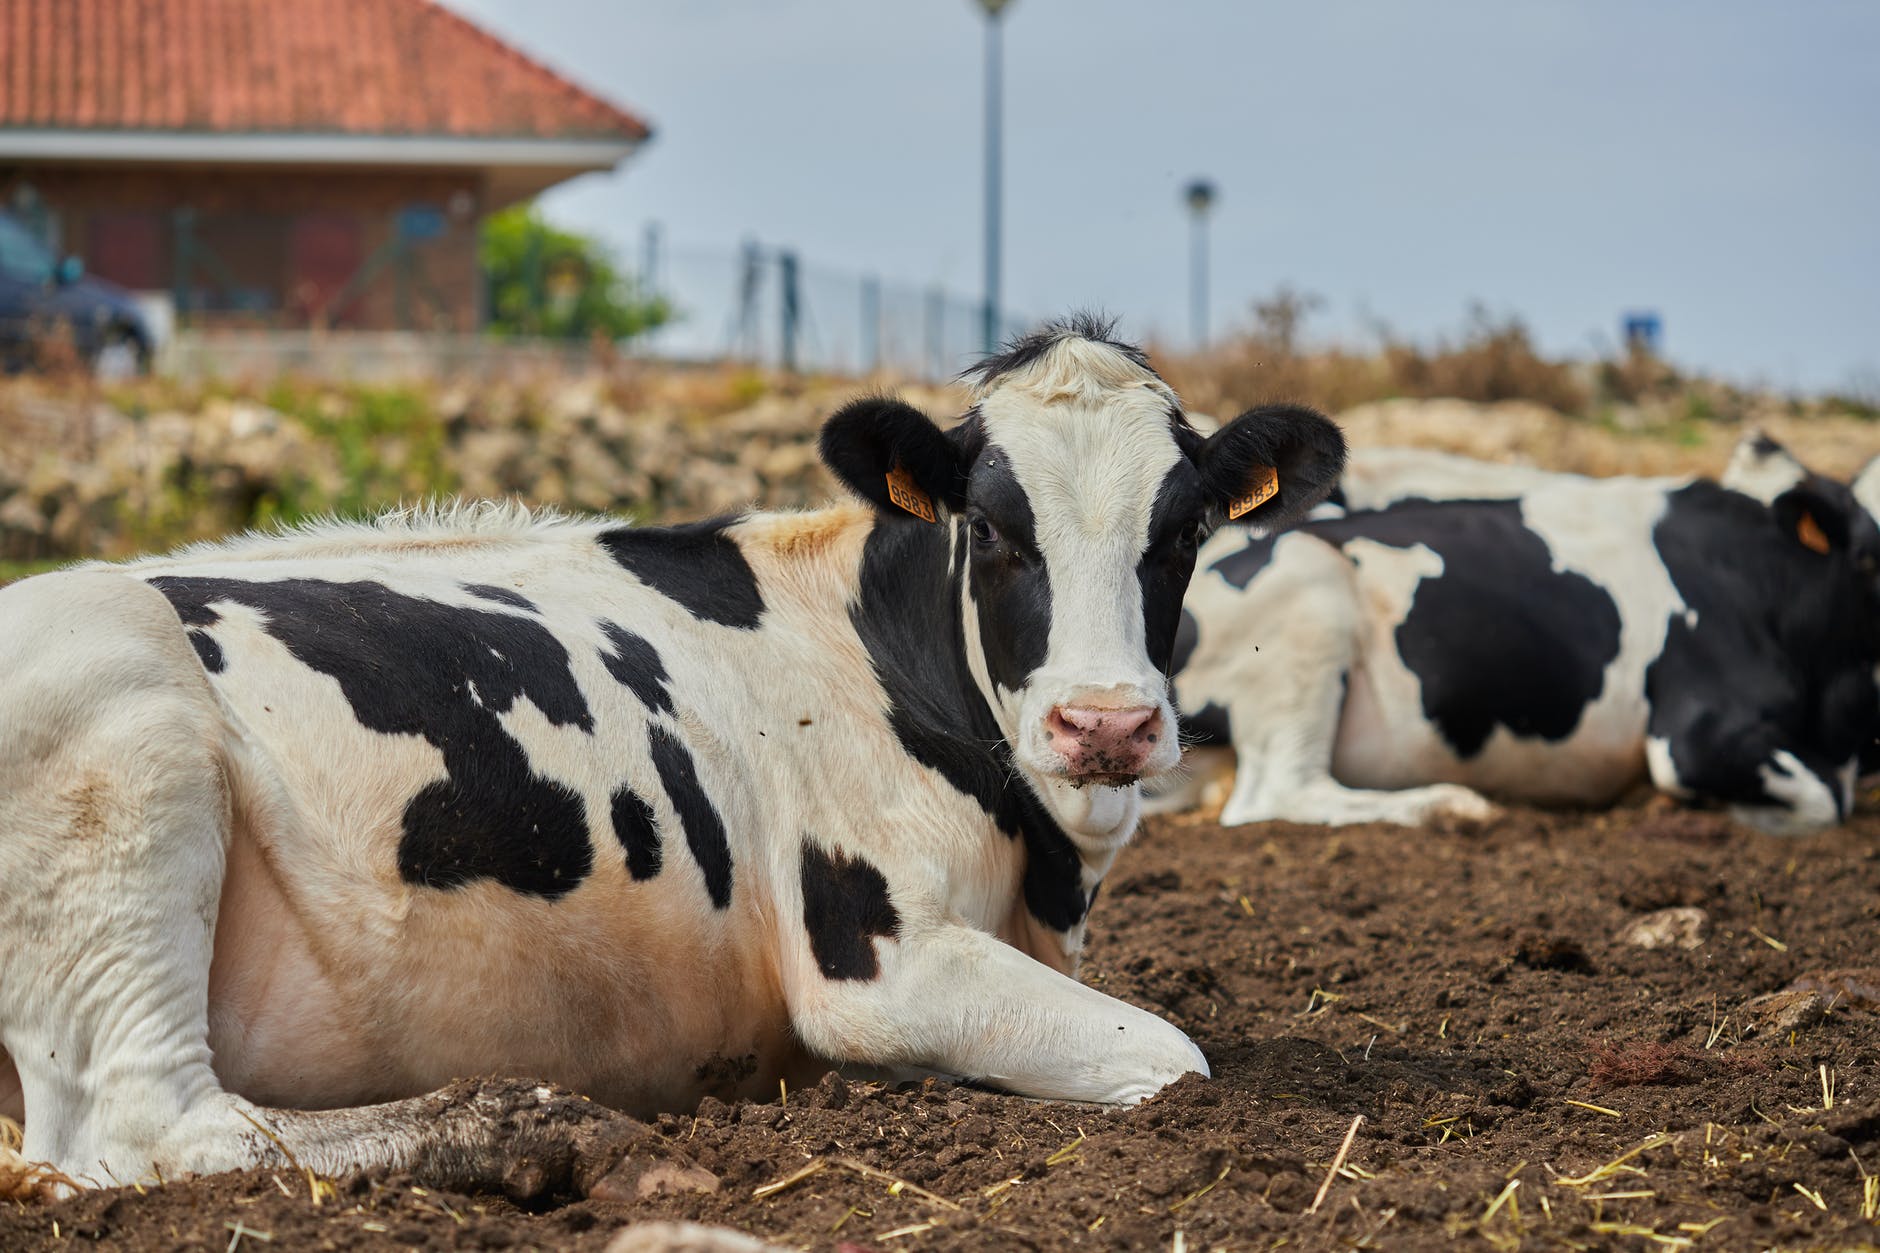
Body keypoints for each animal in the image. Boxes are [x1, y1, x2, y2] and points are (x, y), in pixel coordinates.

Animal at [0, 314, 1353, 1189]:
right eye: (992, 525)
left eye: (1180, 532)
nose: (1105, 723)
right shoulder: (875, 961)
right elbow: (1176, 1057)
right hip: (129, 752)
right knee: (146, 1127)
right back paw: (527, 1123)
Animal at [1158, 434, 1880, 835]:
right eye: (1873, 555)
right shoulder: (1692, 738)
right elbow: (1827, 801)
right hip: (1310, 590)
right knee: (1277, 791)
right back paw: (1451, 808)